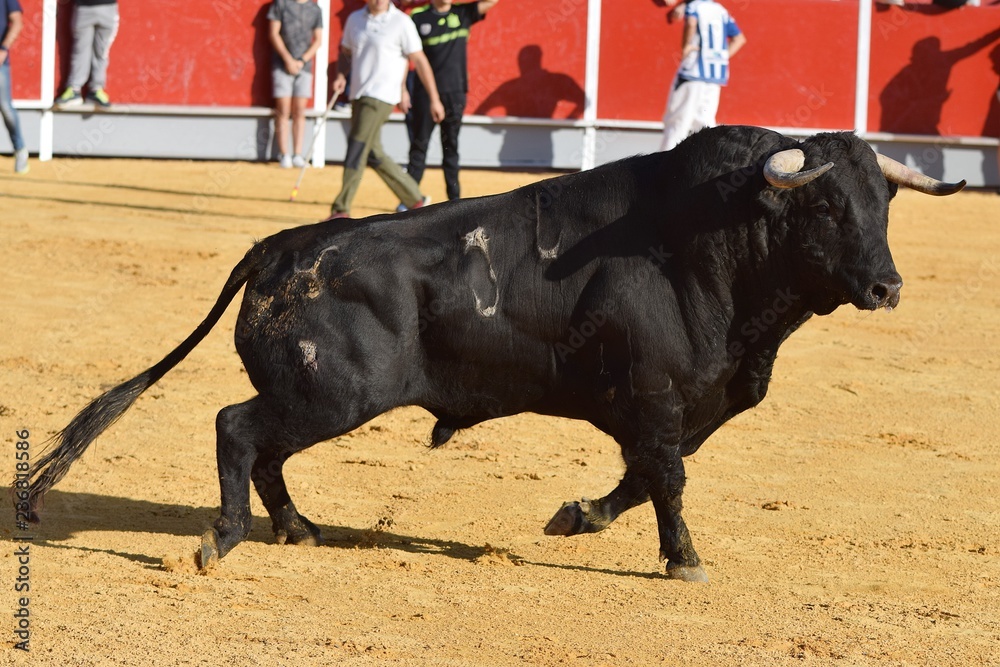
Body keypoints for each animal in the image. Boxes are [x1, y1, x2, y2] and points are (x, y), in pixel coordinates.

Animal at [23, 126, 964, 581]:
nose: (887, 286)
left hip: (319, 398)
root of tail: (283, 247)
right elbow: (666, 478)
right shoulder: (656, 397)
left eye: (883, 203)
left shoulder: (675, 405)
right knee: (236, 428)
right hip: (331, 393)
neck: (710, 242)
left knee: (263, 449)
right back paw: (223, 540)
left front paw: (577, 516)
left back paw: (298, 527)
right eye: (828, 207)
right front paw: (685, 561)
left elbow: (641, 477)